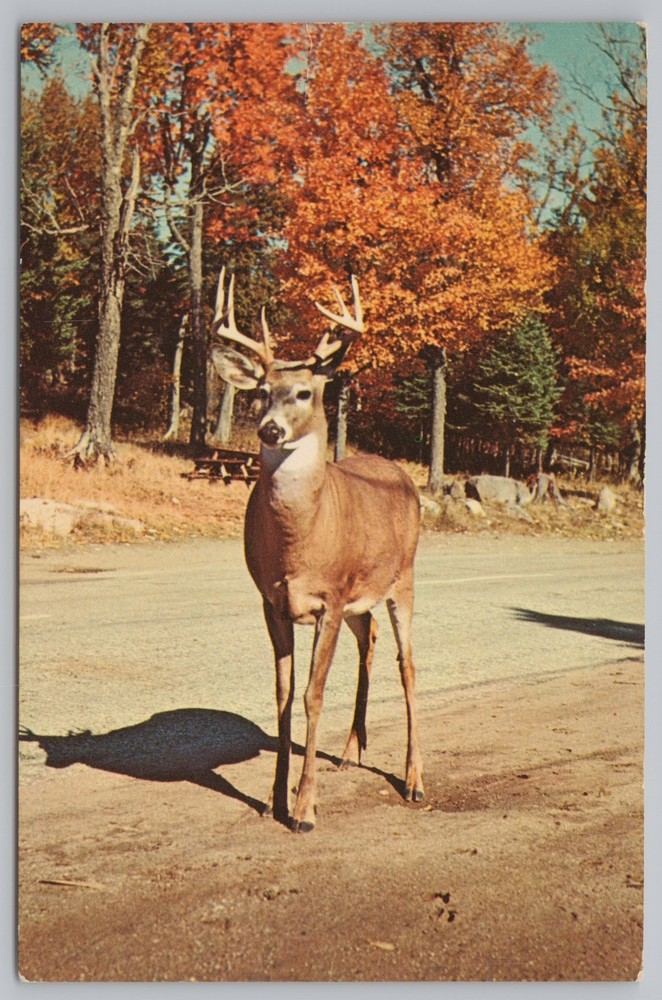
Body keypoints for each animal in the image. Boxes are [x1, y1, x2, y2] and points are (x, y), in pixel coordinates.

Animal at [210, 268, 423, 832]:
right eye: (261, 392)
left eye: (305, 392)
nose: (269, 429)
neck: (299, 543)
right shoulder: (273, 602)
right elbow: (284, 696)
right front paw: (273, 799)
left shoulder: (329, 597)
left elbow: (312, 694)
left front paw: (304, 808)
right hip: (360, 598)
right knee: (369, 639)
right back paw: (351, 751)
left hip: (403, 578)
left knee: (407, 664)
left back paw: (414, 780)